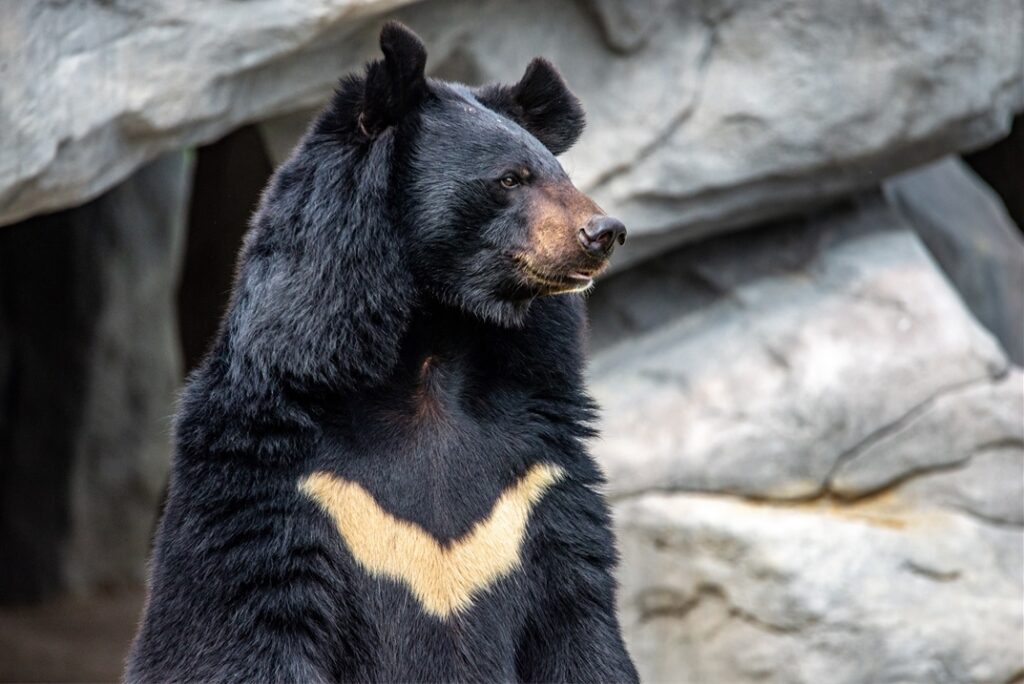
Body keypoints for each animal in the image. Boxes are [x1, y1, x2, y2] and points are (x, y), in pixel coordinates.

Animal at [126, 21, 634, 684]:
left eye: (562, 175)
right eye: (510, 179)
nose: (604, 232)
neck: (430, 355)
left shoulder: (536, 484)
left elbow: (580, 626)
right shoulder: (279, 484)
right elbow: (241, 631)